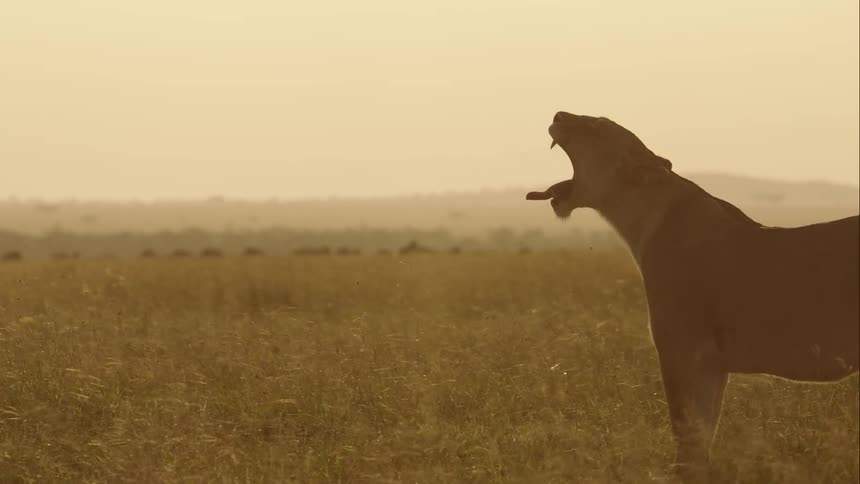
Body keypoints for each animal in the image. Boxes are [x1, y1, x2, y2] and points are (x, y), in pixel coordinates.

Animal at [527, 112, 859, 481]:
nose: (557, 115)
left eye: (596, 127)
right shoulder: (713, 363)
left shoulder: (683, 352)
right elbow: (703, 437)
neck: (643, 216)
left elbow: (686, 437)